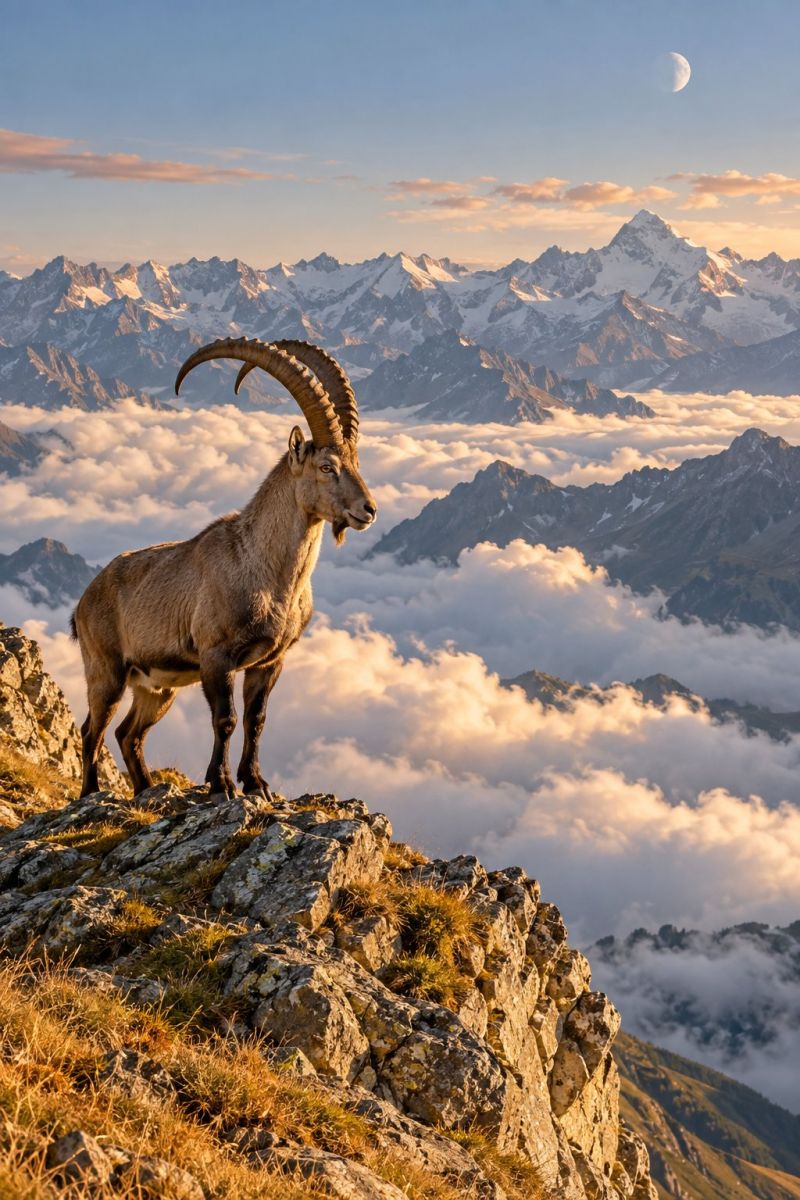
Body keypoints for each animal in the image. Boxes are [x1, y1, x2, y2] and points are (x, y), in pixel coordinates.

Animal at [71, 338, 377, 801]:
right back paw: (91, 793)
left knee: (128, 734)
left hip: (156, 688)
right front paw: (222, 783)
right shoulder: (217, 658)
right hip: (106, 671)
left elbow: (257, 720)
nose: (368, 510)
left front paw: (257, 783)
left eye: (357, 462)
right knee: (93, 729)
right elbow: (226, 720)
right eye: (327, 467)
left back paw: (147, 790)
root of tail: (84, 599)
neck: (268, 574)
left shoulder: (269, 662)